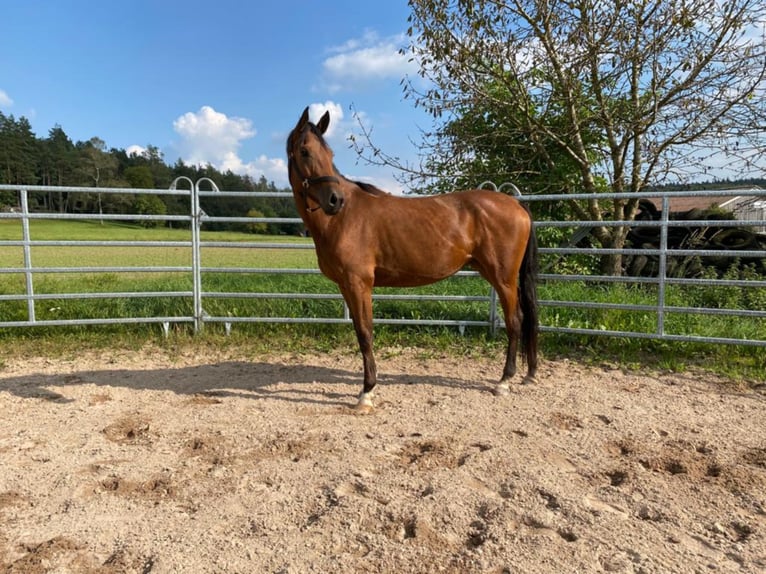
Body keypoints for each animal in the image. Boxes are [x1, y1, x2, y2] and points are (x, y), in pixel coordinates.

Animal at [288, 108, 540, 412]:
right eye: (304, 151)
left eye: (329, 154)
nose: (335, 200)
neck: (342, 221)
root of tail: (516, 204)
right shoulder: (347, 286)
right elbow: (362, 332)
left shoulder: (359, 284)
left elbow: (365, 333)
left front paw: (367, 393)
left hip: (503, 278)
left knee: (515, 321)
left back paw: (504, 381)